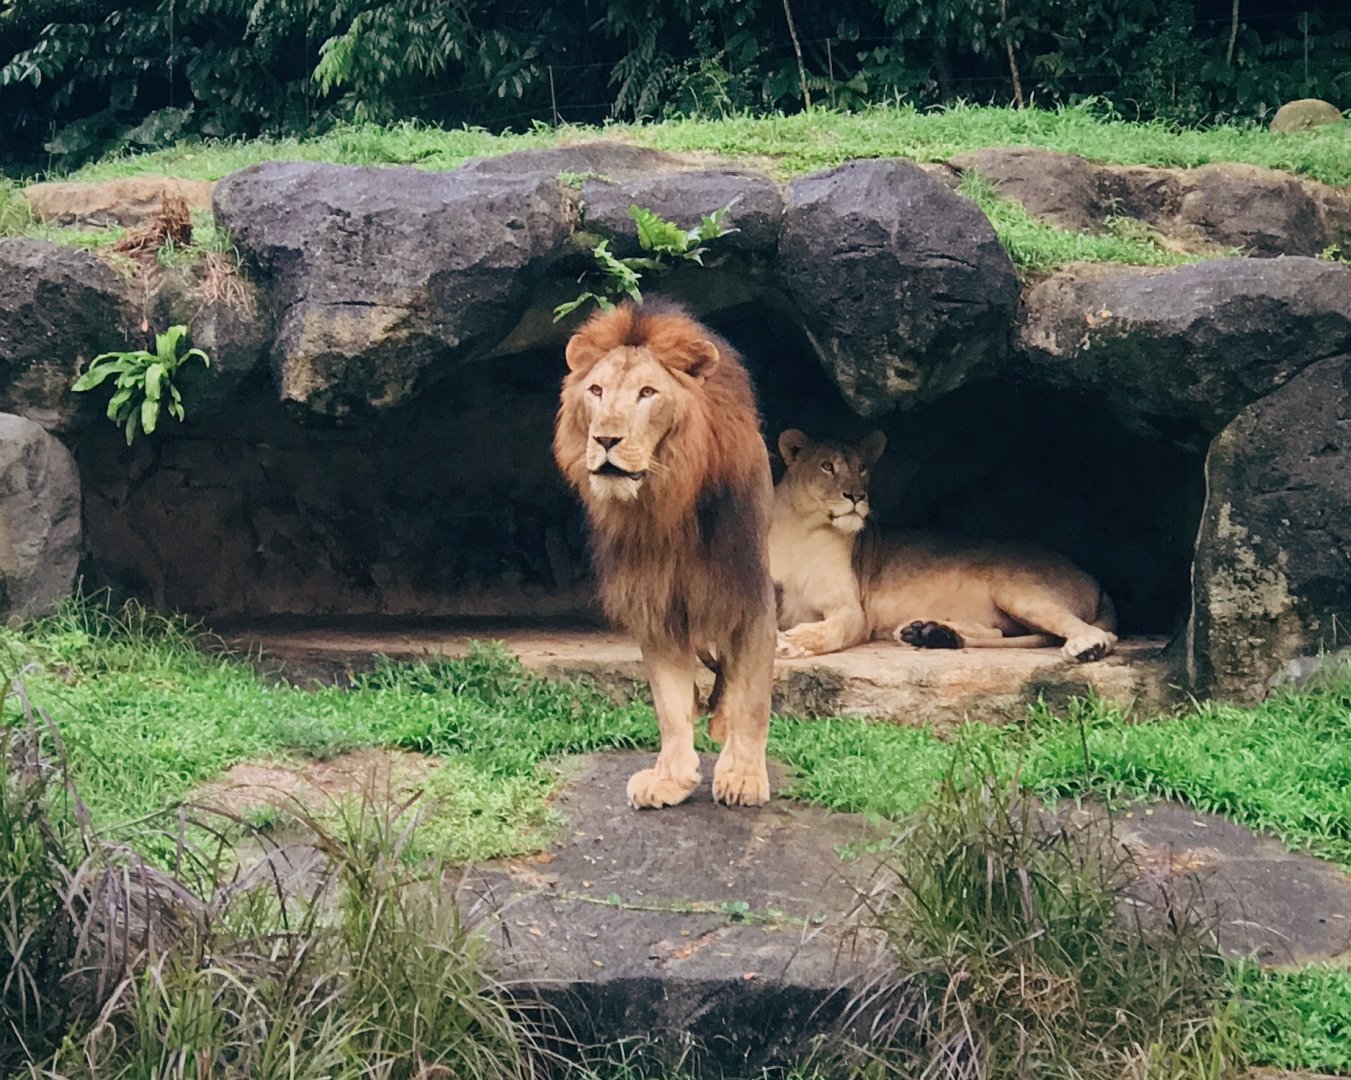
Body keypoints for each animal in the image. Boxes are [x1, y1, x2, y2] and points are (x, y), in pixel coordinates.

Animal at [554, 301, 776, 809]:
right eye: (596, 390)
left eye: (647, 393)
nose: (606, 440)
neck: (666, 500)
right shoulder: (655, 603)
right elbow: (670, 701)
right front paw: (671, 777)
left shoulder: (749, 591)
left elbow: (753, 693)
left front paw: (743, 776)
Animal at [770, 429, 1118, 663]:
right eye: (827, 466)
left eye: (862, 468)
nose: (856, 496)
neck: (803, 530)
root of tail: (1095, 579)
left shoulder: (853, 611)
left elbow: (832, 629)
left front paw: (791, 642)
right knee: (998, 633)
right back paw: (928, 633)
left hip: (1015, 587)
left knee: (1100, 633)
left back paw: (1087, 647)